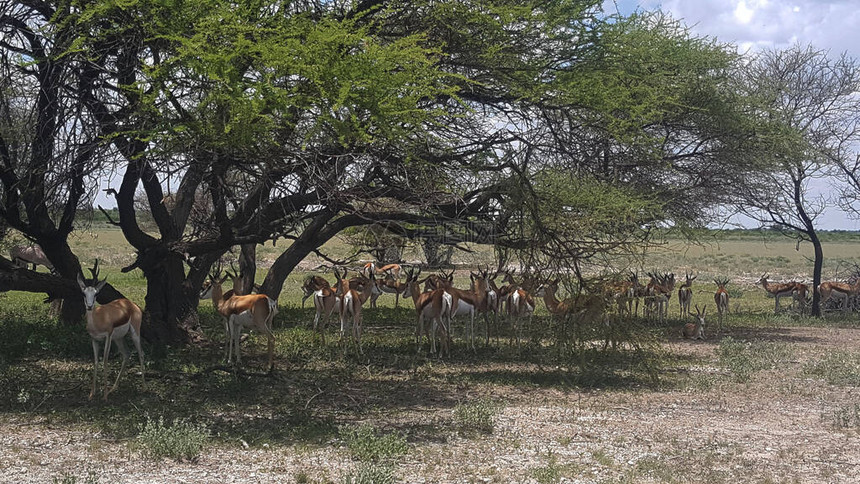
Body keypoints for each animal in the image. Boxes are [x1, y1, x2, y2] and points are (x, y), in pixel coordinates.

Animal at [78, 272, 145, 400]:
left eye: (96, 294)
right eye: (84, 293)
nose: (89, 306)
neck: (98, 319)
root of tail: (131, 304)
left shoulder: (107, 338)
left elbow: (104, 360)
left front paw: (104, 396)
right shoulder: (94, 339)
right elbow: (95, 362)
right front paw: (92, 394)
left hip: (135, 334)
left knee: (141, 354)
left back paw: (144, 388)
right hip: (118, 339)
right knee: (127, 354)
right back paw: (113, 388)